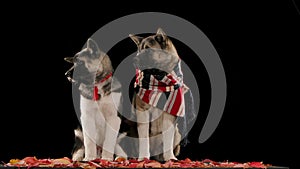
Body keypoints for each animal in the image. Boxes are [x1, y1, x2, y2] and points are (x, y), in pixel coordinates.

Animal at [129, 27, 190, 161]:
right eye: (139, 50)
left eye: (148, 49)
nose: (134, 60)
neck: (160, 79)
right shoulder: (142, 111)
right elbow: (144, 138)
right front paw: (143, 157)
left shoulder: (170, 113)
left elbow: (168, 137)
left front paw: (170, 158)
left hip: (177, 133)